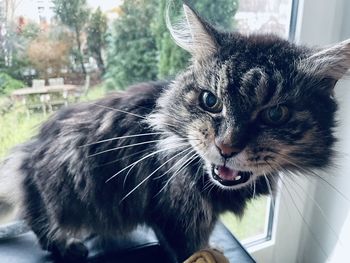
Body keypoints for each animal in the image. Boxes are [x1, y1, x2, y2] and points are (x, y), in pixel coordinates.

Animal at [2, 2, 350, 263]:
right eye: (211, 101)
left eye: (275, 114)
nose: (226, 147)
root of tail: (26, 152)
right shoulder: (179, 217)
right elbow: (193, 250)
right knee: (41, 224)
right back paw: (70, 246)